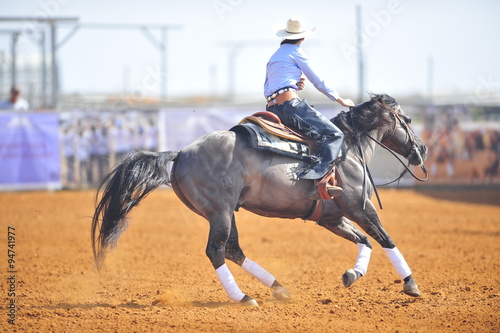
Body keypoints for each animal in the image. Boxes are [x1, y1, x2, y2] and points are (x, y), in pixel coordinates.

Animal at [92, 93, 428, 306]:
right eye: (409, 119)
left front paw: (353, 274)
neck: (347, 150)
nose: (422, 150)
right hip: (220, 212)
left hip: (224, 213)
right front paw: (411, 284)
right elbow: (385, 239)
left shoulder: (331, 217)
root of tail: (181, 153)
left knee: (232, 250)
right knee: (216, 251)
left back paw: (278, 288)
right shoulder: (360, 207)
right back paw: (243, 297)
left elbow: (365, 241)